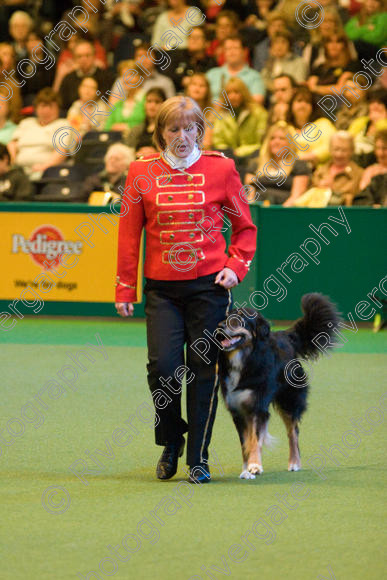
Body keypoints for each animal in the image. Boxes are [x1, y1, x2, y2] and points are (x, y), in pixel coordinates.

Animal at [217, 294, 342, 480]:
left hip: (289, 401)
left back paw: (294, 463)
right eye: (226, 317)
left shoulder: (257, 407)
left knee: (293, 433)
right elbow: (246, 442)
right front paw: (247, 469)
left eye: (240, 319)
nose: (219, 326)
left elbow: (254, 439)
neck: (244, 359)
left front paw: (255, 465)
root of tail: (285, 336)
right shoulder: (237, 410)